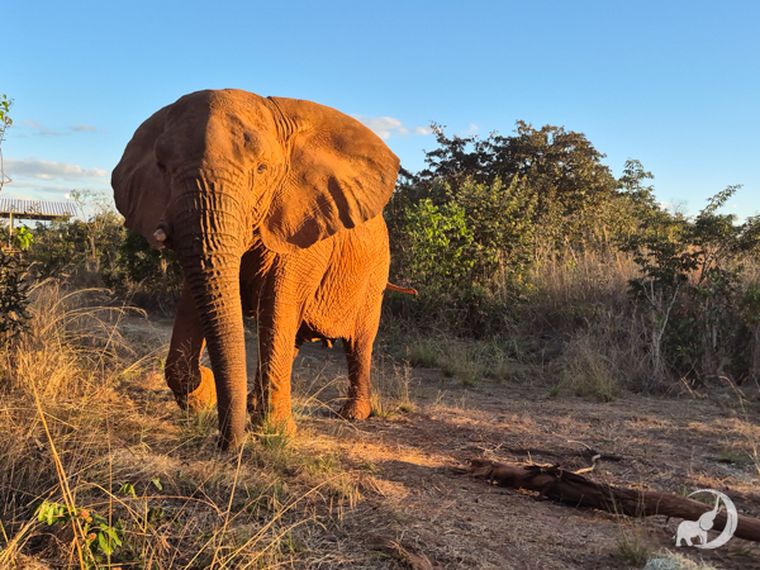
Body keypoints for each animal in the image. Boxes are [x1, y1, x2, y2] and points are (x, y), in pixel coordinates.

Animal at [112, 89, 400, 449]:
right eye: (162, 167)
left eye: (262, 169)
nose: (228, 444)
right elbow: (195, 305)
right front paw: (207, 397)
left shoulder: (302, 233)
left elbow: (277, 310)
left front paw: (278, 433)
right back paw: (252, 404)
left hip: (376, 275)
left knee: (359, 343)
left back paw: (353, 415)